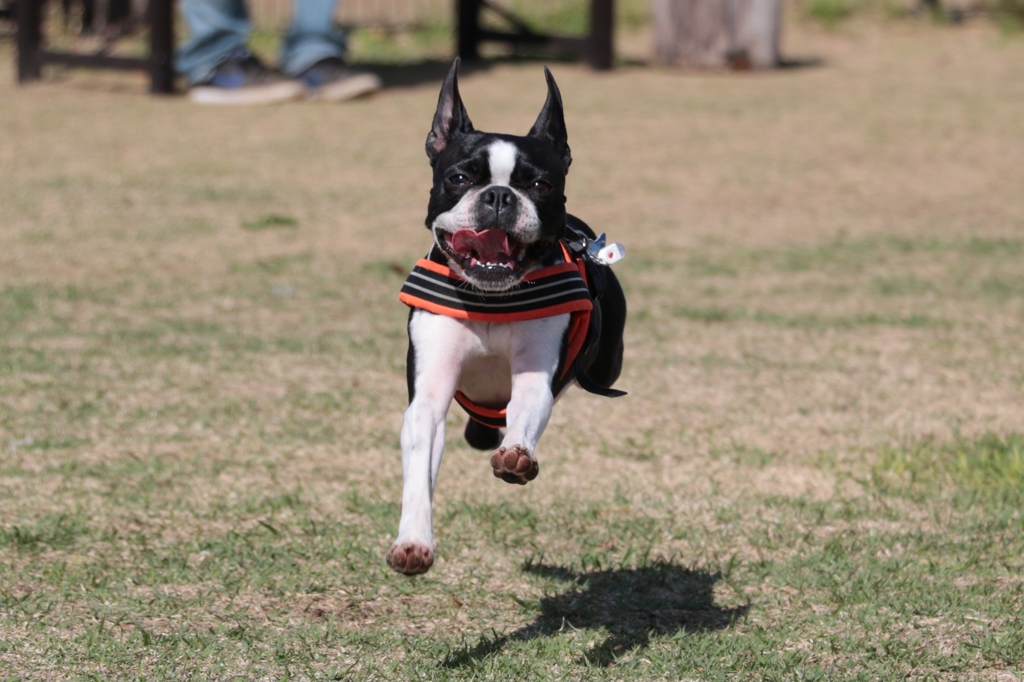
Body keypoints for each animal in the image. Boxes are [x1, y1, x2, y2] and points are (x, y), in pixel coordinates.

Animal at [385, 59, 622, 573]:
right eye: (459, 178)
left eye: (540, 184)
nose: (498, 196)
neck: (490, 296)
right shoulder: (429, 394)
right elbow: (419, 459)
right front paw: (412, 541)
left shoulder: (535, 372)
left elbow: (526, 407)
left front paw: (515, 453)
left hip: (607, 364)